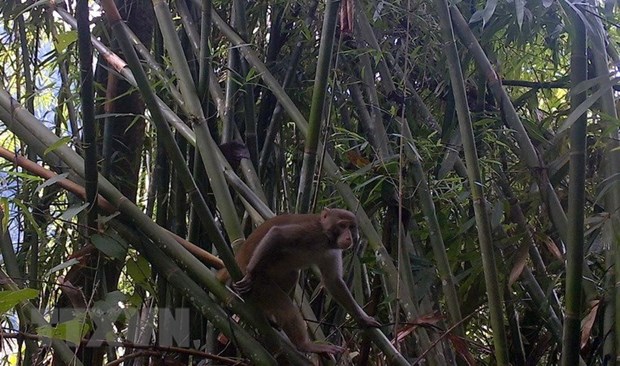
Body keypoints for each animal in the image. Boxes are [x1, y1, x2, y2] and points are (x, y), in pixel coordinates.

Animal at [223, 209, 378, 354]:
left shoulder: (332, 251)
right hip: (259, 284)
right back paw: (304, 345)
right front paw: (250, 274)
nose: (348, 236)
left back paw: (267, 315)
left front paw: (363, 319)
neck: (326, 238)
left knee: (292, 275)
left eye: (351, 227)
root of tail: (237, 259)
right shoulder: (312, 232)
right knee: (283, 305)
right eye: (342, 225)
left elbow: (333, 281)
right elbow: (277, 234)